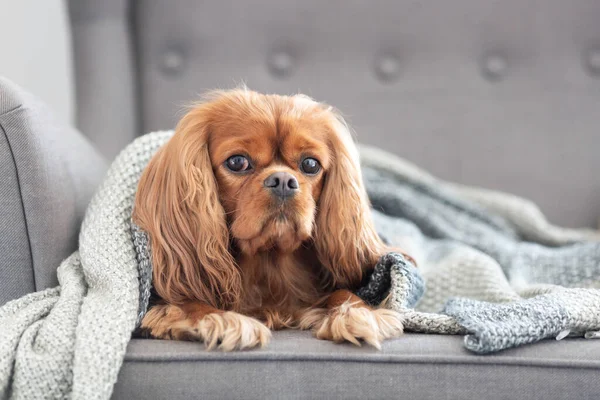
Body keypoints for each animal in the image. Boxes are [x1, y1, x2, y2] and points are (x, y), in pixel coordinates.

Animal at [133, 88, 410, 350]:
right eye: (237, 162)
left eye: (310, 164)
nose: (283, 180)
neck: (267, 260)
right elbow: (189, 301)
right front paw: (220, 319)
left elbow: (344, 292)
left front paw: (360, 313)